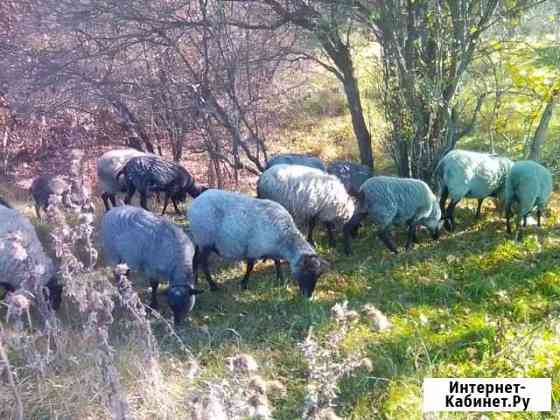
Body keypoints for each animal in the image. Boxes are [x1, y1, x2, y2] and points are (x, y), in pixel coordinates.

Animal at [188, 189, 328, 296]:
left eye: (318, 275)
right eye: (305, 272)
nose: (308, 296)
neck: (284, 239)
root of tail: (195, 202)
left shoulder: (272, 249)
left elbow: (277, 262)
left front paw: (280, 279)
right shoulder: (253, 249)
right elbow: (250, 267)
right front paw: (244, 284)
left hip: (198, 240)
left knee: (195, 259)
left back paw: (194, 281)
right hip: (205, 240)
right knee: (203, 263)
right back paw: (213, 286)